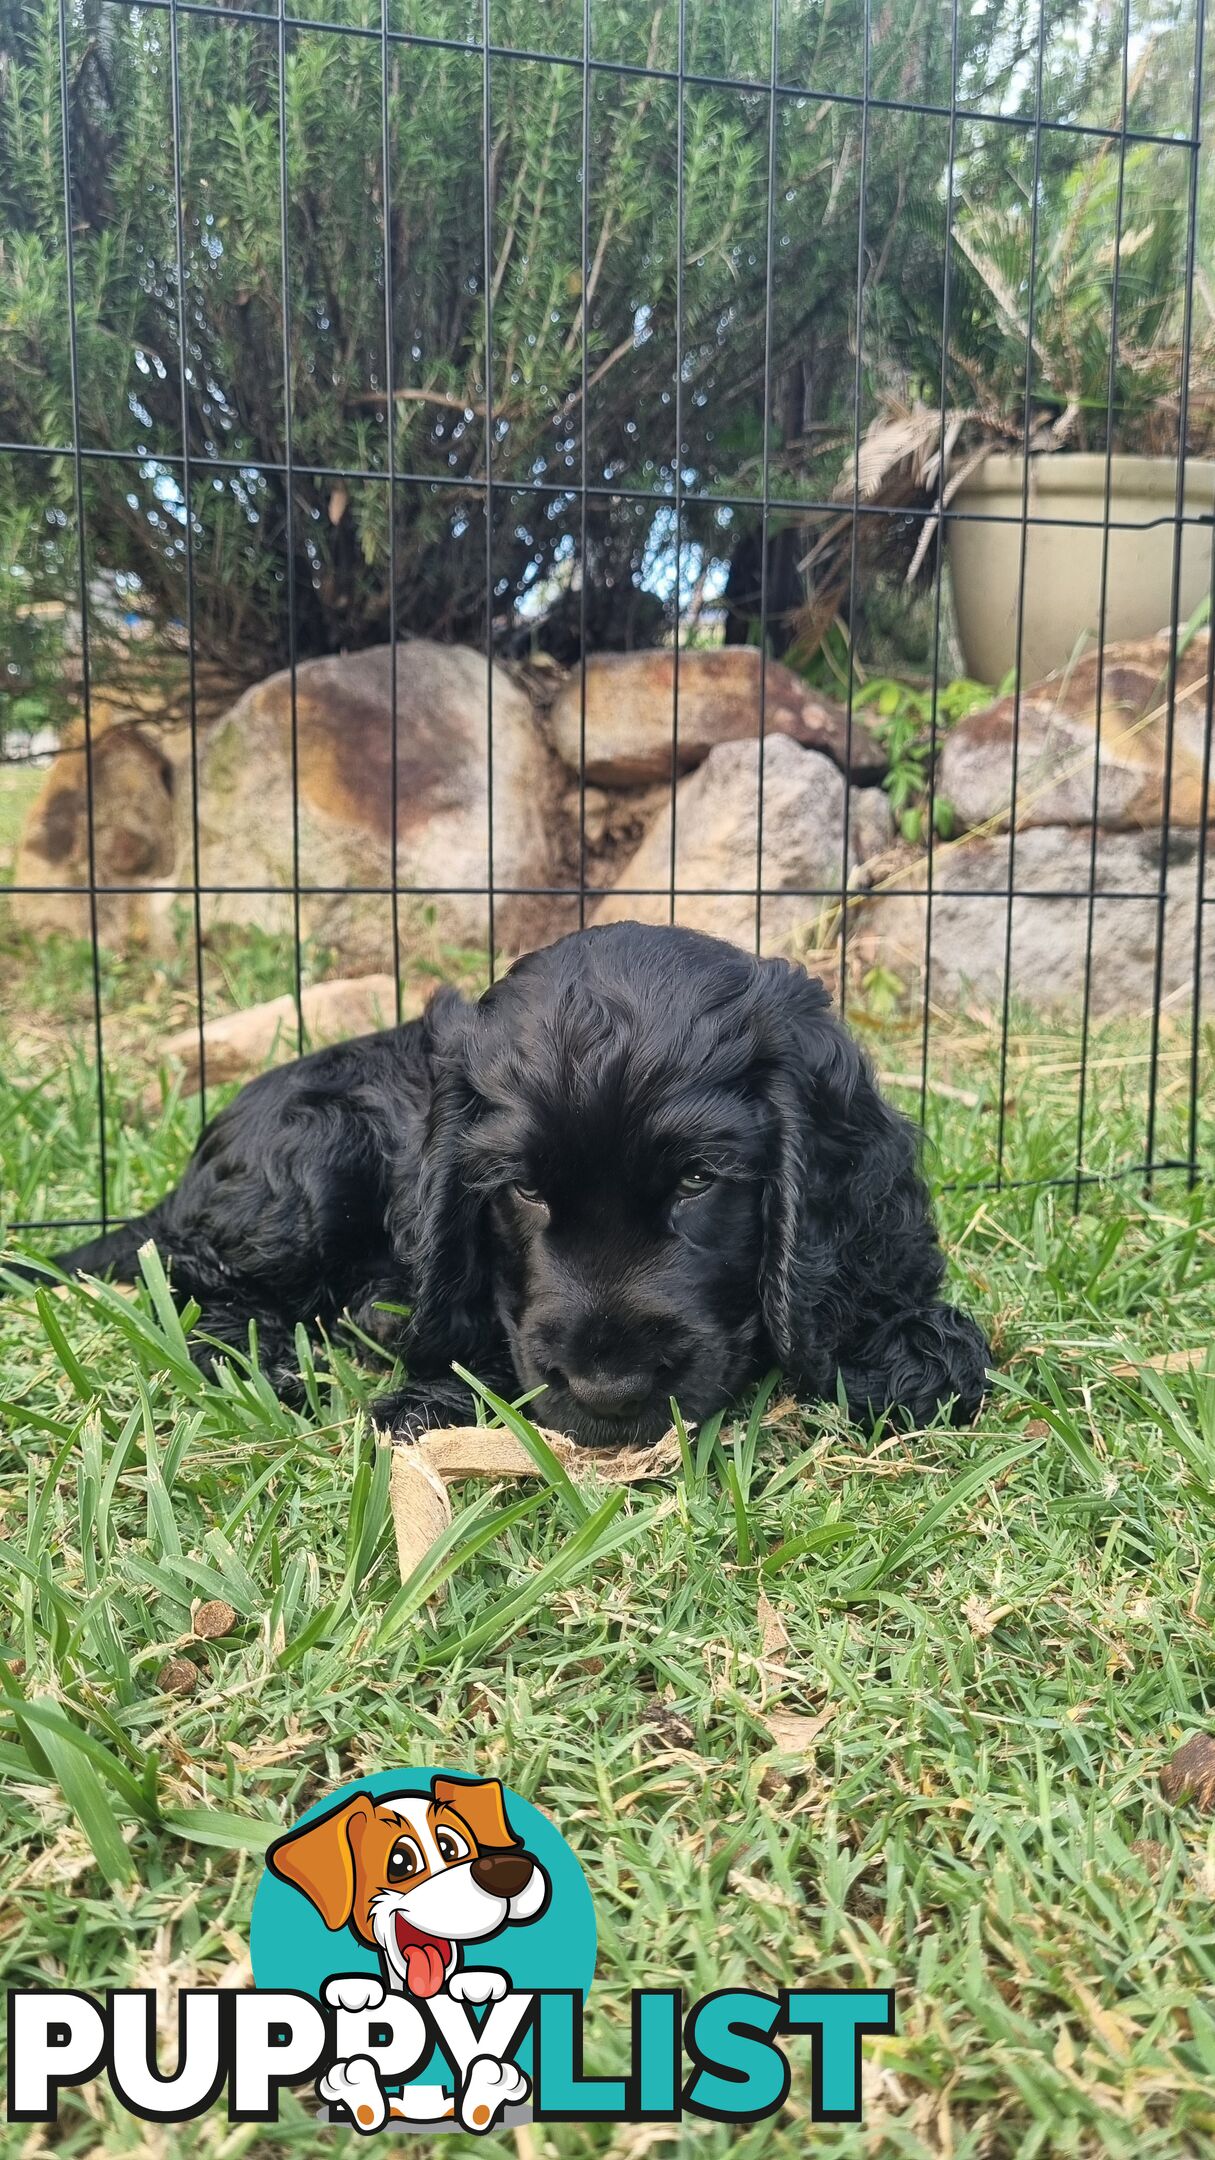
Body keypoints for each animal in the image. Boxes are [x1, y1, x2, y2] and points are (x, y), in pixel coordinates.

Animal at [49, 920, 994, 1442]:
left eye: (699, 1179)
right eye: (524, 1190)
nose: (610, 1393)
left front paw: (904, 1353)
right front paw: (432, 1399)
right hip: (307, 1163)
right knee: (196, 1284)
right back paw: (267, 1357)